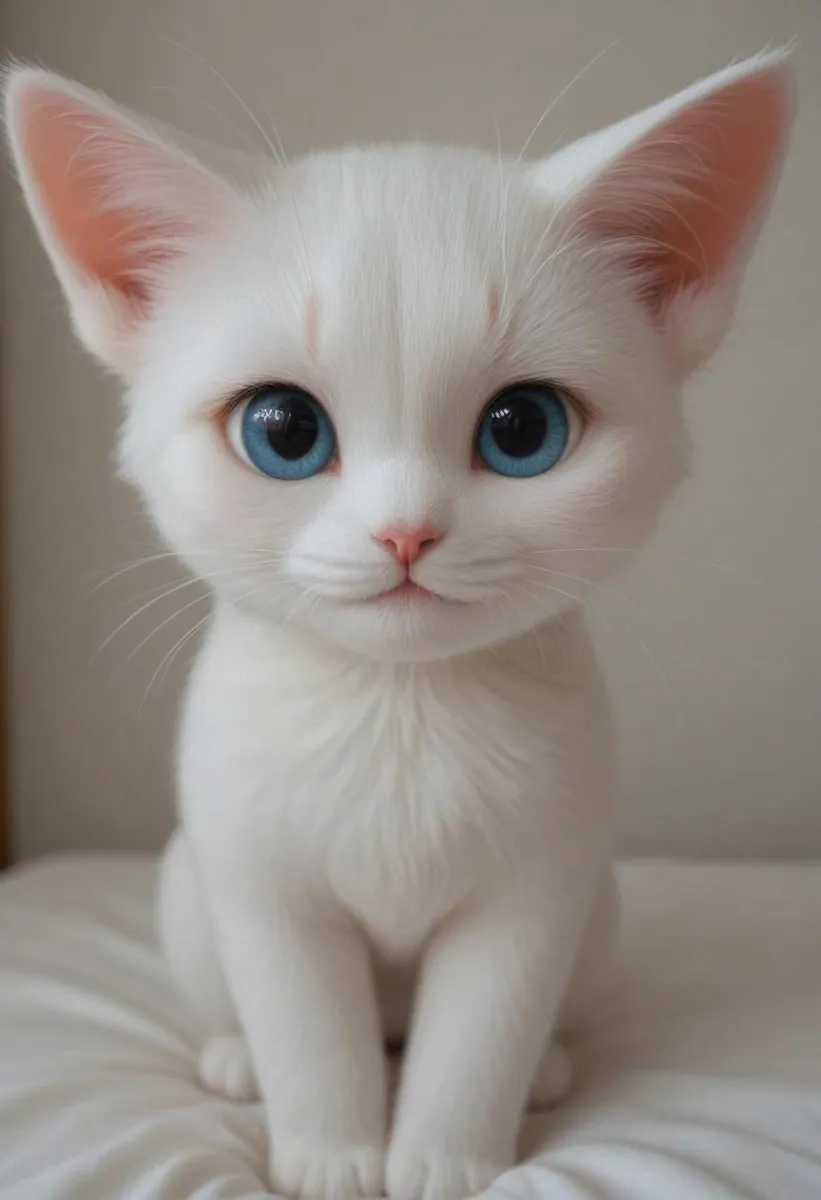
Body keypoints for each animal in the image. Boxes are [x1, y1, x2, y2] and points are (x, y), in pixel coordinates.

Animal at [3, 51, 792, 1200]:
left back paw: (546, 1068)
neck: (399, 707)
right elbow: (307, 1029)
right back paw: (235, 1058)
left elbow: (478, 1036)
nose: (405, 533)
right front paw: (330, 1155)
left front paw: (443, 1160)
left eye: (522, 429)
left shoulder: (535, 890)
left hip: (596, 905)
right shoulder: (263, 886)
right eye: (283, 430)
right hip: (186, 889)